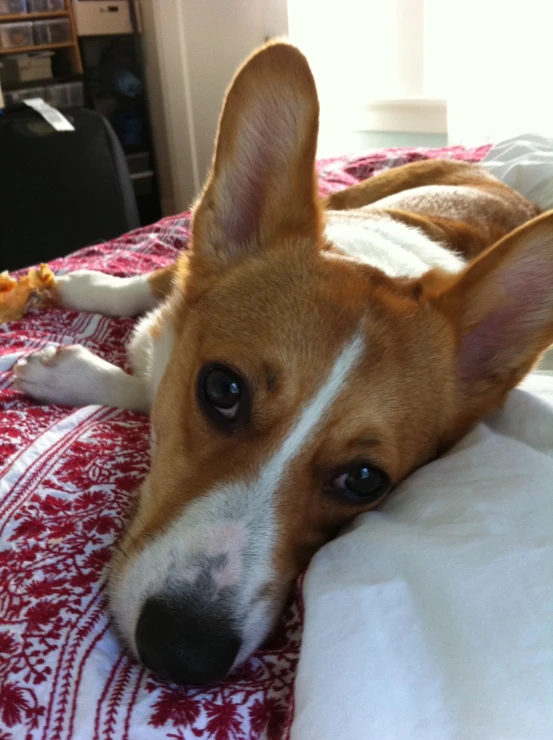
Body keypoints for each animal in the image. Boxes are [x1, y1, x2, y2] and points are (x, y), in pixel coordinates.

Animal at [11, 43, 552, 684]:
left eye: (363, 480)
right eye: (222, 388)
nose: (183, 653)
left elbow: (145, 387)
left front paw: (71, 372)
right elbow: (146, 302)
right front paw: (72, 319)